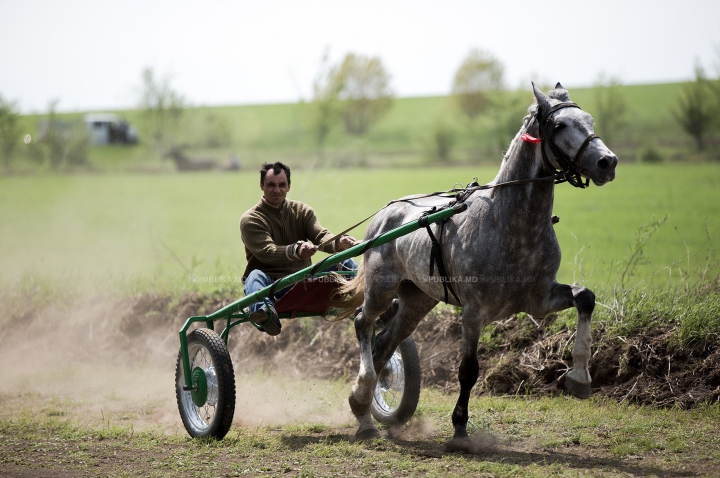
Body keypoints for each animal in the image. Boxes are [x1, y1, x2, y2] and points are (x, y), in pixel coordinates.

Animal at [338, 82, 620, 440]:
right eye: (559, 125)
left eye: (590, 120)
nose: (607, 162)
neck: (511, 224)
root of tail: (385, 215)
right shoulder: (474, 311)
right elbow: (468, 370)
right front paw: (459, 426)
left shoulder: (539, 299)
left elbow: (585, 297)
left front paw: (579, 377)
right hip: (381, 288)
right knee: (363, 323)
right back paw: (362, 394)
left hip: (417, 300)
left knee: (386, 343)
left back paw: (367, 405)